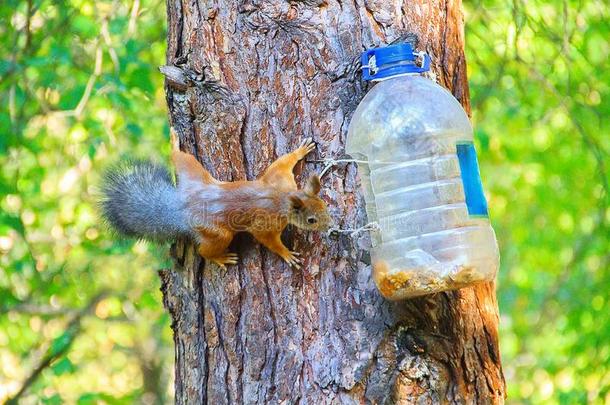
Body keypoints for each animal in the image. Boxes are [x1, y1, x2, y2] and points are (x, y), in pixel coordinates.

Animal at [100, 139, 330, 268]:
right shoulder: (266, 221)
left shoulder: (280, 178)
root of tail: (181, 208)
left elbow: (281, 162)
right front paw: (286, 254)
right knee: (205, 250)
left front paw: (300, 151)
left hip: (193, 173)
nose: (329, 225)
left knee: (180, 158)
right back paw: (220, 258)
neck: (283, 198)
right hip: (216, 232)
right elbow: (266, 239)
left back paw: (174, 141)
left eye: (325, 206)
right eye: (311, 220)